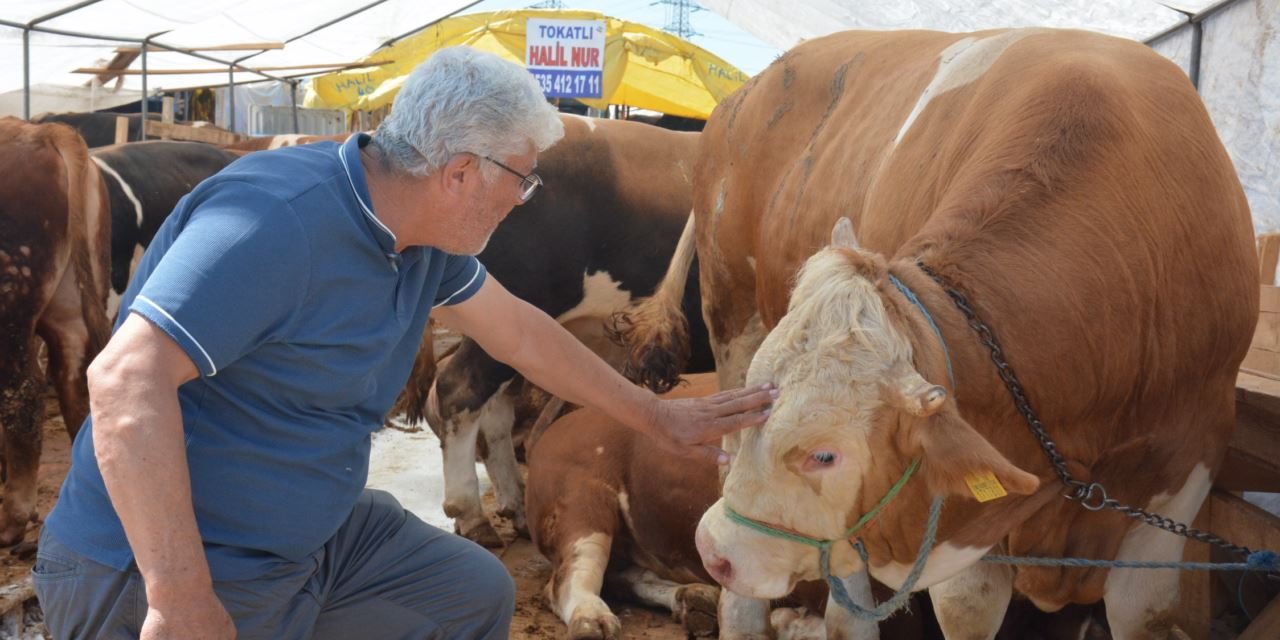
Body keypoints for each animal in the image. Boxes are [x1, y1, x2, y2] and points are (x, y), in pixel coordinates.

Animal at [0, 119, 111, 545]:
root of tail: (39, 130)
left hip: (11, 303)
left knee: (22, 391)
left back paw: (12, 519)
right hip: (69, 302)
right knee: (77, 378)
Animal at [619, 28, 1259, 640]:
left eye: (826, 455)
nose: (713, 551)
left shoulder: (1191, 457)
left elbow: (1142, 611)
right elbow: (968, 607)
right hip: (732, 320)